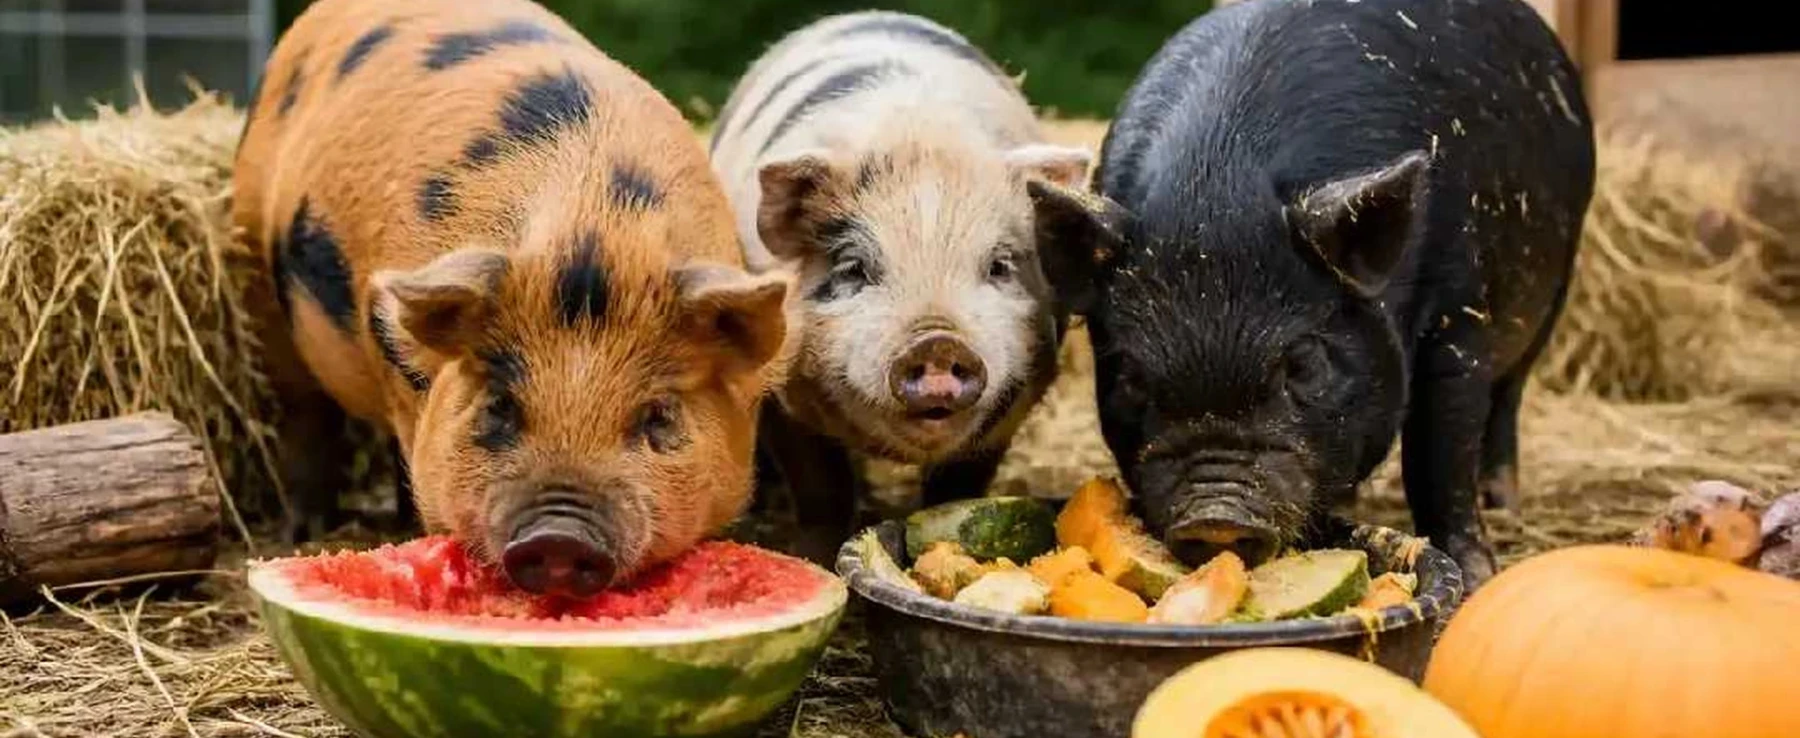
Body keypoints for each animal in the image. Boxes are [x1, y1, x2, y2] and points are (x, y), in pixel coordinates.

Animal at [233, 0, 789, 597]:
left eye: (658, 414)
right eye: (500, 404)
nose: (561, 539)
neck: (593, 223)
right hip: (255, 270)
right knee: (301, 412)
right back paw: (305, 529)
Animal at [707, 11, 1116, 559]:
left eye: (1000, 266)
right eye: (854, 267)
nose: (938, 342)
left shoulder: (1014, 401)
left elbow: (959, 483)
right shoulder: (778, 391)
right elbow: (820, 488)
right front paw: (813, 555)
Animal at [1074, 0, 1596, 588]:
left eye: (1303, 363)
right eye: (1130, 375)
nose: (1215, 517)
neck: (1217, 183)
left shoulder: (1459, 320)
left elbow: (1439, 454)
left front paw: (1477, 574)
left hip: (1557, 282)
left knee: (1509, 398)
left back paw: (1503, 501)